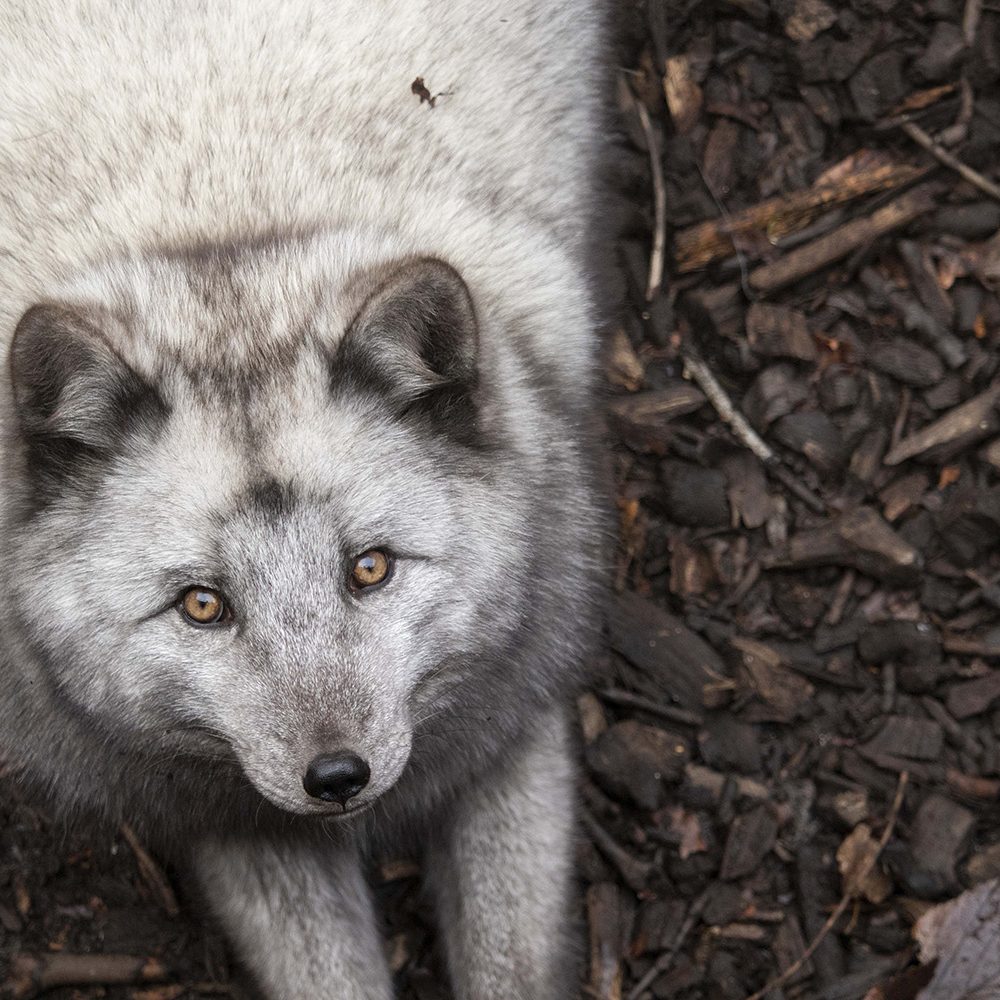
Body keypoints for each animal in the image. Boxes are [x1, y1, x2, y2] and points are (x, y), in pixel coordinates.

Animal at [0, 3, 600, 996]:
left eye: (372, 568)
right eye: (201, 605)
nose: (338, 778)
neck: (224, 214)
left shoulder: (511, 729)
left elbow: (512, 967)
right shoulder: (233, 822)